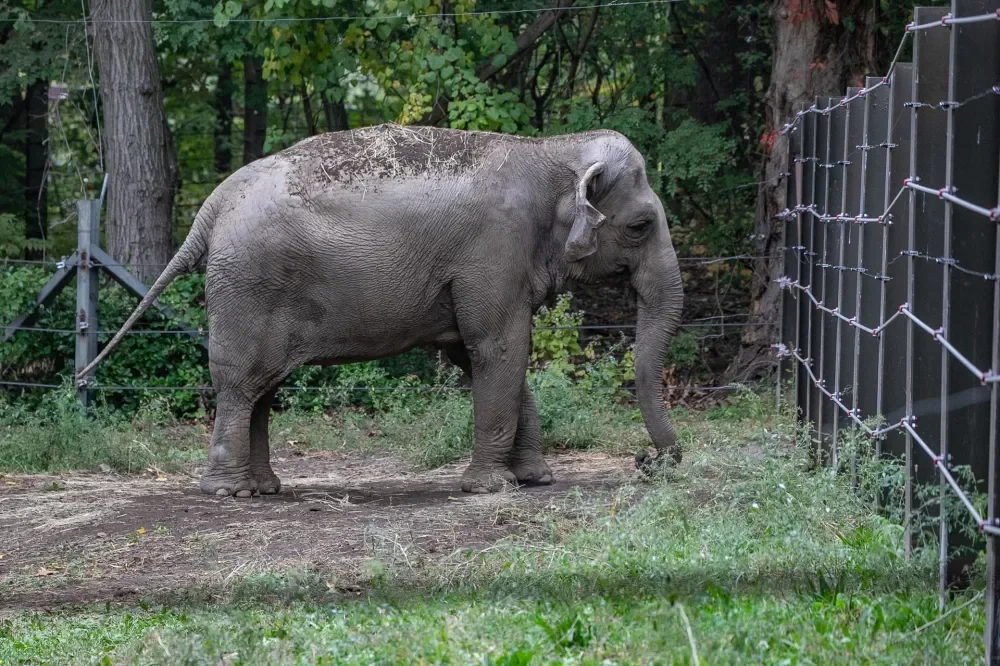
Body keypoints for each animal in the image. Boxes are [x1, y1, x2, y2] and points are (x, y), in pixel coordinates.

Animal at [78, 123, 684, 497]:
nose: (649, 461)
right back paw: (230, 492)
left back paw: (266, 488)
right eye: (640, 226)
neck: (551, 150)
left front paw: (534, 479)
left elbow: (477, 355)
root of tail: (212, 205)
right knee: (239, 384)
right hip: (247, 286)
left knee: (262, 389)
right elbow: (499, 347)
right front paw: (491, 488)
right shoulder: (493, 252)